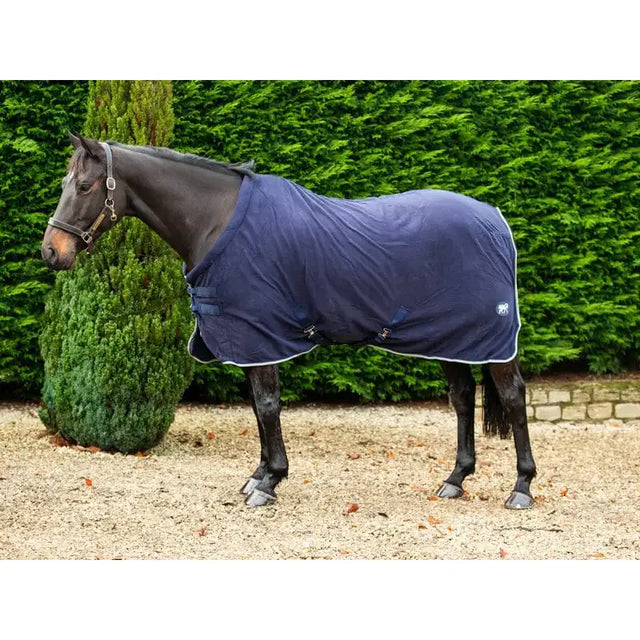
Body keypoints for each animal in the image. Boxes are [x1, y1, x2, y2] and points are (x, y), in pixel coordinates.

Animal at [42, 133, 537, 509]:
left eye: (84, 186)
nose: (51, 251)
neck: (217, 221)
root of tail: (495, 220)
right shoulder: (246, 338)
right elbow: (258, 409)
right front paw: (258, 474)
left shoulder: (260, 336)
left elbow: (266, 406)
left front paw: (269, 482)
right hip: (452, 339)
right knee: (462, 399)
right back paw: (455, 480)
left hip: (490, 341)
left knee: (513, 397)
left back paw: (522, 488)